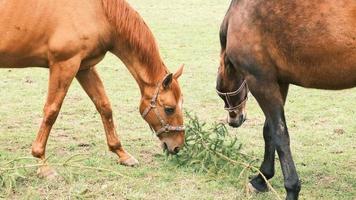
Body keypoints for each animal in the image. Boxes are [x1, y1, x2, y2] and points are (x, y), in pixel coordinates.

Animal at [0, 0, 185, 178]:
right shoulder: (65, 64)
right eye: (169, 109)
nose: (178, 146)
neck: (99, 12)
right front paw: (42, 164)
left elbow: (104, 106)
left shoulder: (84, 67)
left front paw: (122, 154)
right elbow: (52, 111)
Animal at [216, 0, 356, 200]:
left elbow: (280, 135)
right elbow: (269, 131)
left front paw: (291, 188)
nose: (233, 120)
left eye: (221, 93)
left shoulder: (260, 82)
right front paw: (261, 179)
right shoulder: (280, 82)